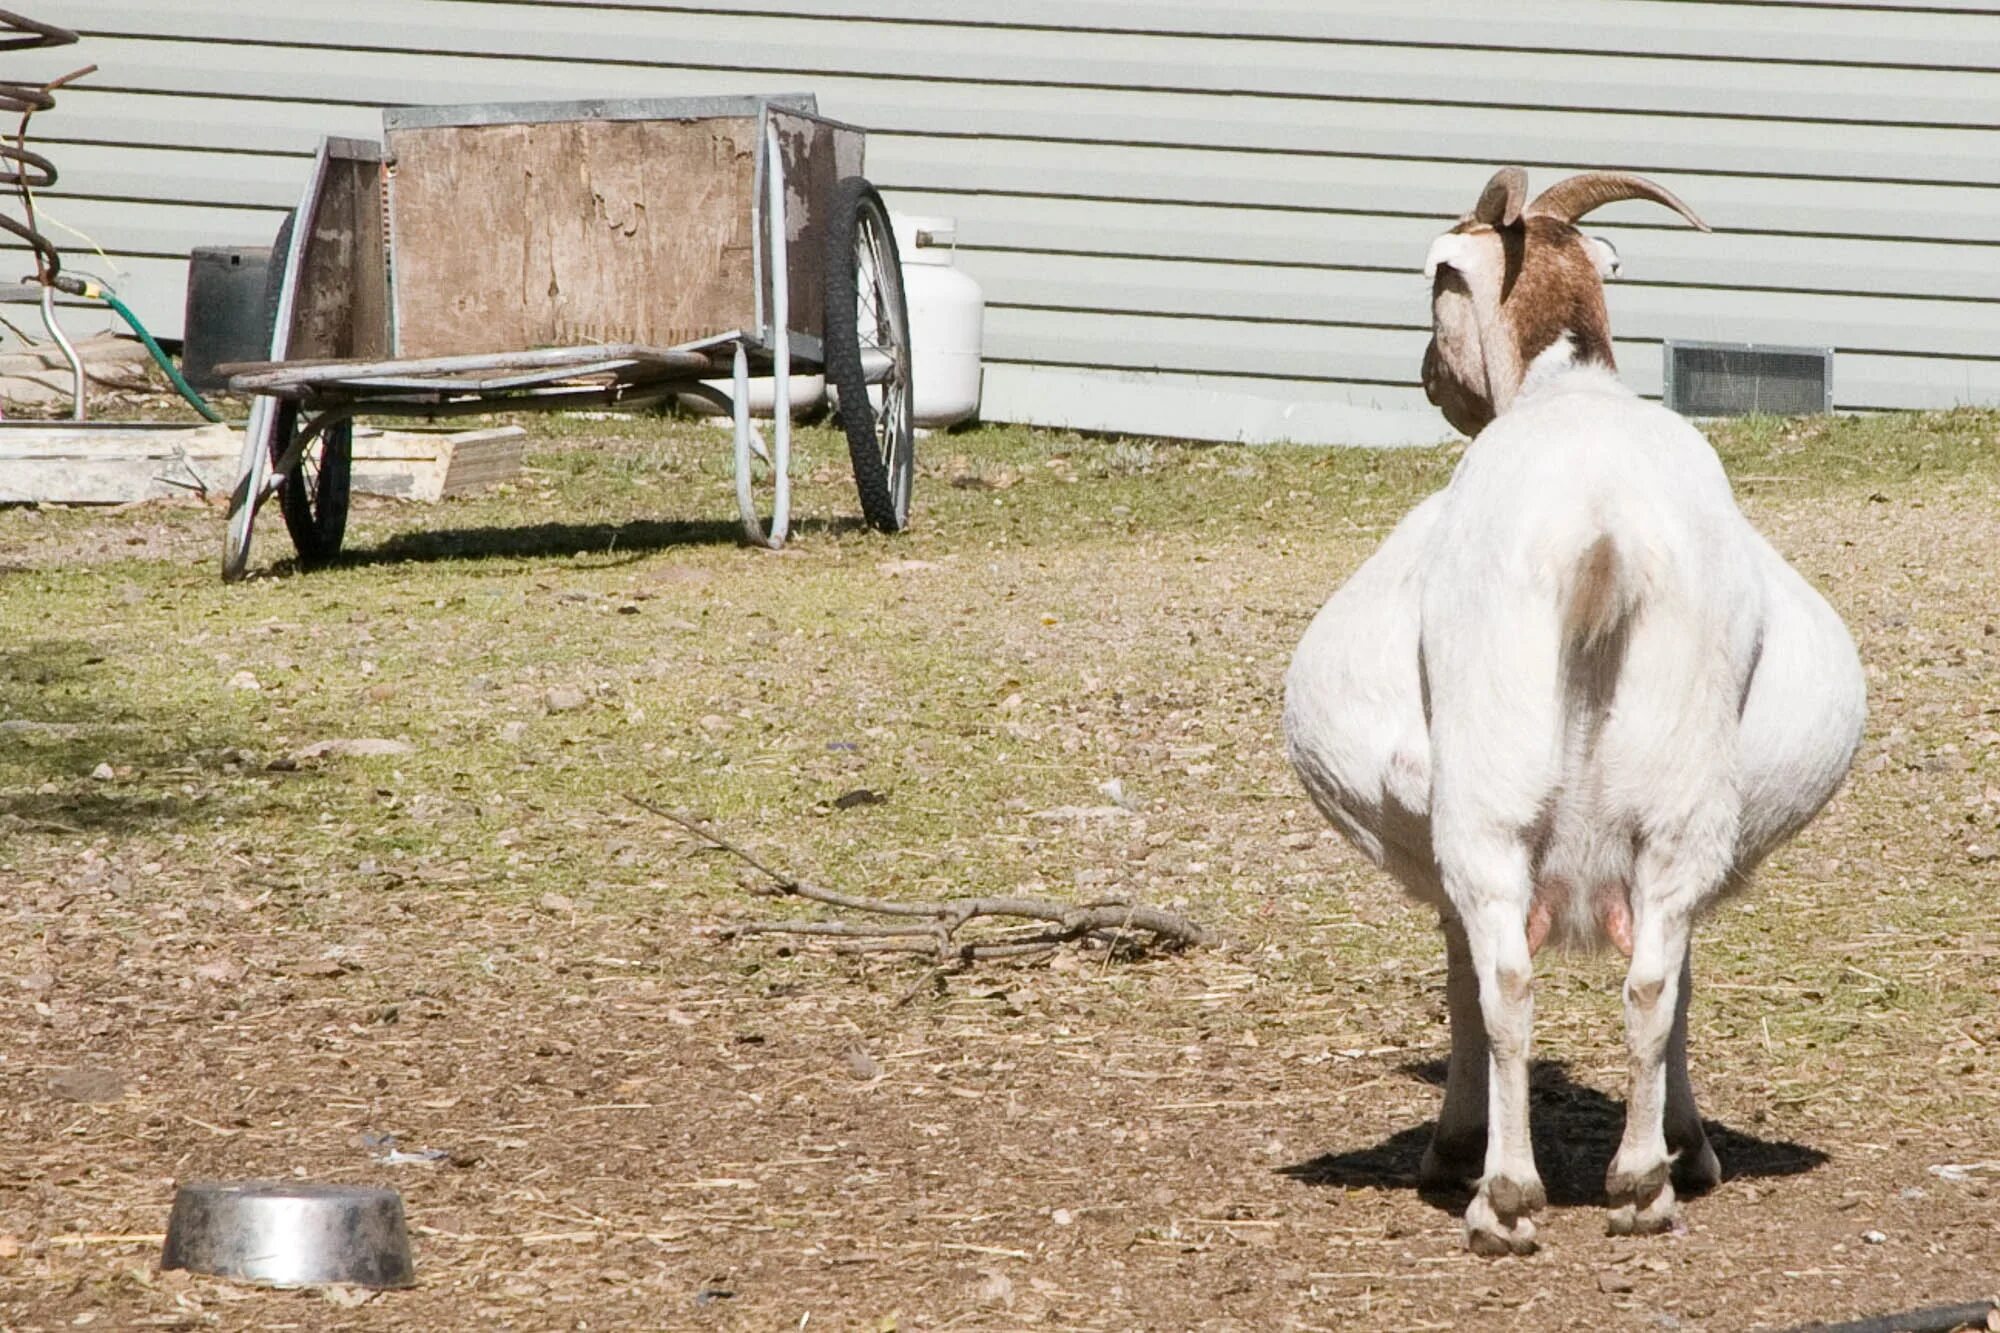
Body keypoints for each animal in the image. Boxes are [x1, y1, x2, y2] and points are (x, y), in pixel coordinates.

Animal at [1288, 166, 1864, 1248]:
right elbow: (1679, 978)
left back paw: (1504, 1197)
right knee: (1651, 980)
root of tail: (1600, 533)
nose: (1428, 380)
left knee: (1509, 980)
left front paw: (1454, 1147)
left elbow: (1466, 977)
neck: (1572, 386)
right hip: (1679, 795)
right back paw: (1641, 1183)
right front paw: (1690, 1147)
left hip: (1488, 791)